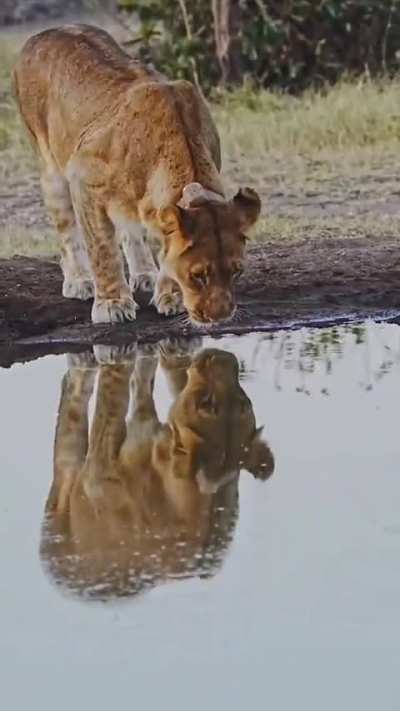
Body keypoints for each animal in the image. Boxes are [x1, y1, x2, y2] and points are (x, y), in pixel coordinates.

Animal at [13, 24, 261, 324]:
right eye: (198, 275)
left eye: (237, 271)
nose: (220, 318)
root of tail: (46, 31)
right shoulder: (82, 177)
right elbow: (102, 250)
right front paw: (112, 305)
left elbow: (164, 249)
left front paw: (170, 296)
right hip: (51, 168)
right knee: (67, 232)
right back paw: (79, 281)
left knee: (130, 227)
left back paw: (144, 274)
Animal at [40, 342, 274, 601]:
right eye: (207, 403)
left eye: (244, 403)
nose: (226, 358)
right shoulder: (99, 475)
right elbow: (114, 401)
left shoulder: (100, 472)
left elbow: (126, 391)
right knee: (73, 393)